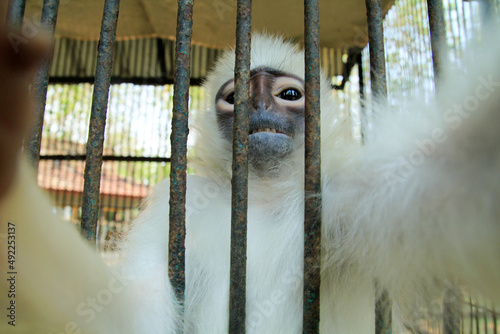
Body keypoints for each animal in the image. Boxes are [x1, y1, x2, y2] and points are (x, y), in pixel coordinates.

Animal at [0, 28, 500, 334]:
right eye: (235, 97)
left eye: (289, 94)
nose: (257, 109)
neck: (259, 196)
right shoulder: (177, 205)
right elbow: (127, 311)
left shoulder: (343, 195)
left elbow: (455, 177)